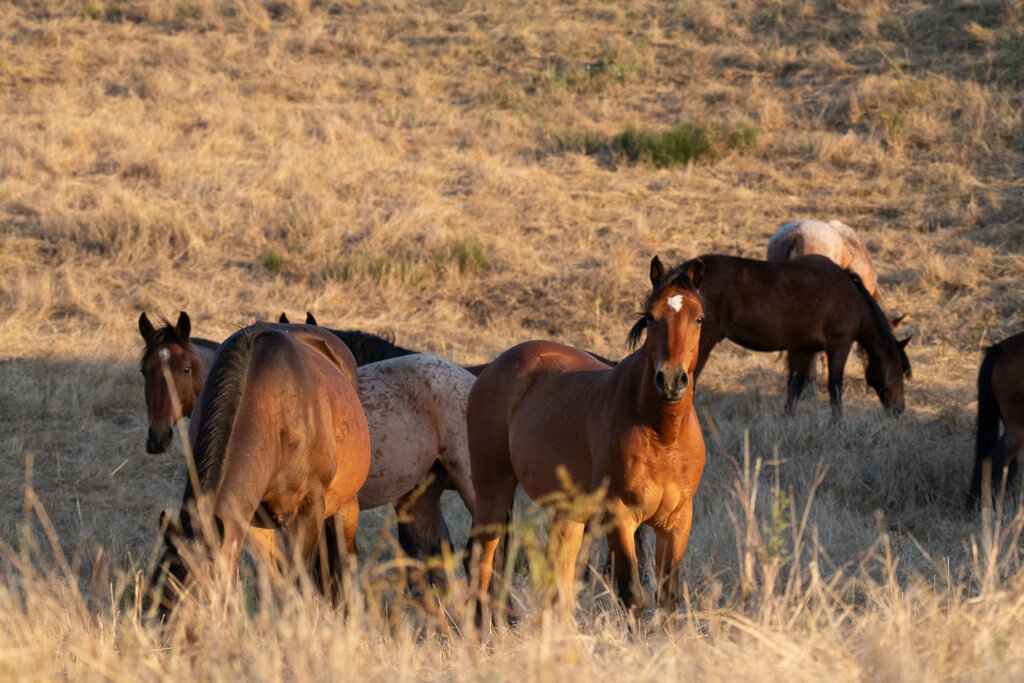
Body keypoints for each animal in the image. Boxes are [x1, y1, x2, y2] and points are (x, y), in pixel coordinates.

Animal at [146, 322, 371, 617]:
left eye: (199, 602)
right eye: (154, 600)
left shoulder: (310, 507)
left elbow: (305, 582)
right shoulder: (250, 519)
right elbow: (269, 585)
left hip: (345, 507)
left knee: (342, 568)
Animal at [467, 256, 706, 616]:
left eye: (699, 318)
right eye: (651, 318)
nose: (671, 380)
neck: (662, 436)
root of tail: (491, 369)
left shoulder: (677, 523)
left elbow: (667, 599)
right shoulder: (620, 517)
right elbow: (632, 594)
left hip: (567, 516)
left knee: (559, 587)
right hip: (492, 492)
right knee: (482, 566)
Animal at [692, 254, 911, 420]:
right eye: (900, 370)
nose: (899, 410)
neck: (854, 298)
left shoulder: (803, 349)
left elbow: (794, 389)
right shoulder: (840, 345)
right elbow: (835, 388)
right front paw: (838, 425)